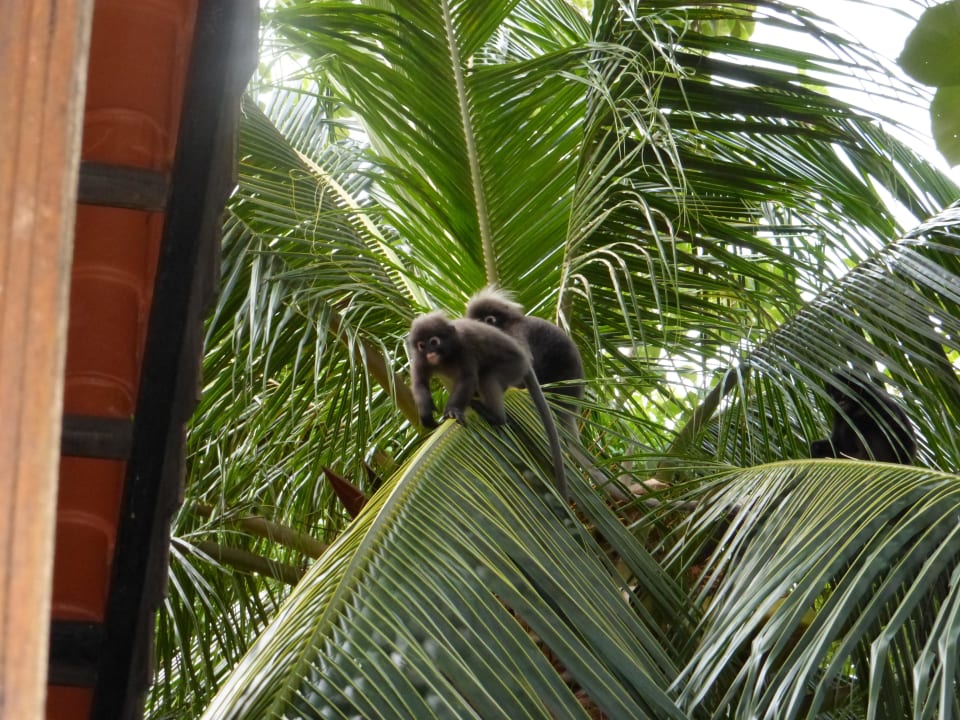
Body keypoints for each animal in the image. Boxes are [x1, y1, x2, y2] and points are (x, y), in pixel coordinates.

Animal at [408, 312, 567, 498]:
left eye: (434, 342)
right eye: (422, 345)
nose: (430, 352)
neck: (444, 358)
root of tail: (525, 360)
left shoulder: (464, 348)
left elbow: (467, 379)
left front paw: (453, 410)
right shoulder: (419, 360)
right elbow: (419, 383)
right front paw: (426, 416)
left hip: (514, 366)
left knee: (486, 376)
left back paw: (495, 416)